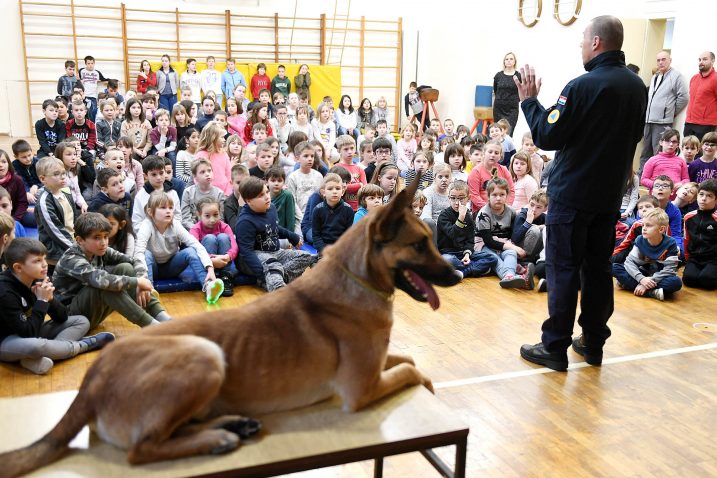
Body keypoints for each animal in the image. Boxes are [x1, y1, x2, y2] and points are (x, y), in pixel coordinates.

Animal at [0, 174, 458, 476]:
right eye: (420, 244)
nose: (455, 275)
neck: (355, 278)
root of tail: (91, 380)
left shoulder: (377, 364)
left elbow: (408, 359)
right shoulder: (363, 389)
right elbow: (412, 371)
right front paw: (428, 385)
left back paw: (231, 424)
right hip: (205, 357)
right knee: (142, 450)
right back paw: (217, 438)